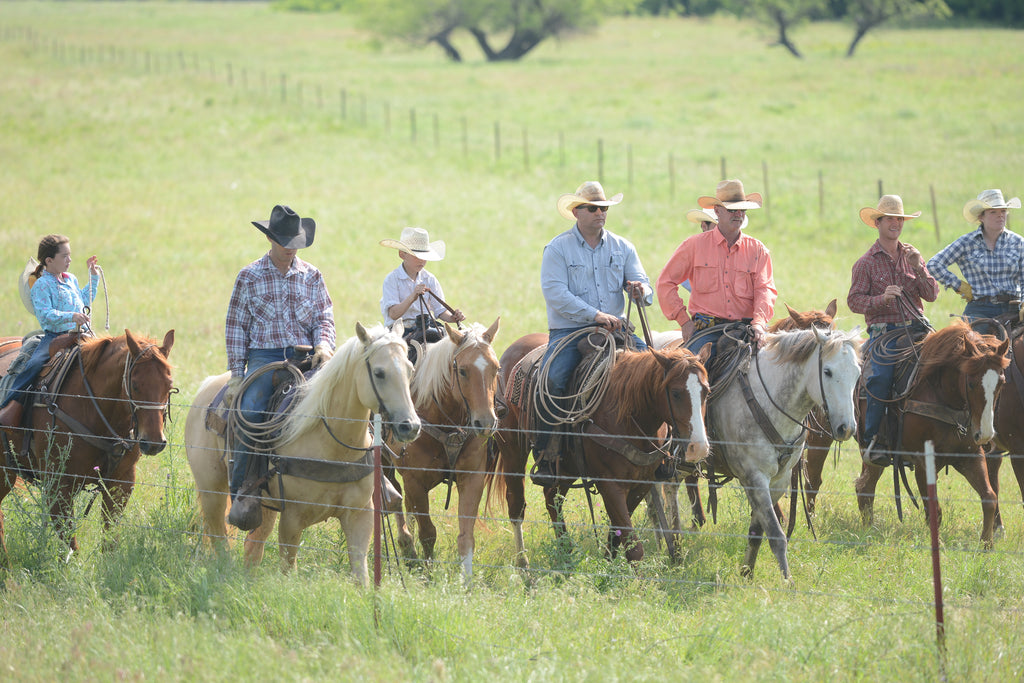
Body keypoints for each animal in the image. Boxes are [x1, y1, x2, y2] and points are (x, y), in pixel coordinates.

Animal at [0, 327, 175, 557]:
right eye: (135, 385)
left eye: (169, 385)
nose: (154, 442)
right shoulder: (57, 485)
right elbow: (69, 543)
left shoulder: (122, 482)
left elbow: (109, 538)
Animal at [184, 323, 419, 585]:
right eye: (379, 373)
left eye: (410, 370)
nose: (410, 426)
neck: (332, 444)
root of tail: (207, 387)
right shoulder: (292, 518)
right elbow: (289, 568)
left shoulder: (360, 514)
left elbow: (361, 576)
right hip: (211, 490)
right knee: (218, 535)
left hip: (264, 505)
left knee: (253, 546)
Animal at [385, 321, 501, 581]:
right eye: (463, 371)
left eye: (496, 369)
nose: (485, 422)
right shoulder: (415, 481)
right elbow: (428, 532)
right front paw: (427, 574)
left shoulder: (472, 478)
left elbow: (466, 536)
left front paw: (466, 582)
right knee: (394, 500)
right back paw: (406, 547)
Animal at [489, 335, 712, 565]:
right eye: (675, 393)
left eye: (707, 391)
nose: (699, 448)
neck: (628, 414)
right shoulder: (610, 484)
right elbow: (633, 548)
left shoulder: (641, 483)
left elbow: (616, 535)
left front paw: (607, 564)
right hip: (512, 451)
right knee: (517, 506)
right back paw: (524, 566)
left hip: (566, 468)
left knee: (552, 497)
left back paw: (565, 553)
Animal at [851, 317, 1011, 548]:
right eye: (971, 383)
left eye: (1001, 382)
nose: (985, 434)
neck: (942, 396)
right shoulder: (922, 462)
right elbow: (933, 508)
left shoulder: (970, 456)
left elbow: (989, 497)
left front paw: (986, 545)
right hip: (869, 450)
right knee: (865, 486)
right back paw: (868, 533)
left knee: (864, 486)